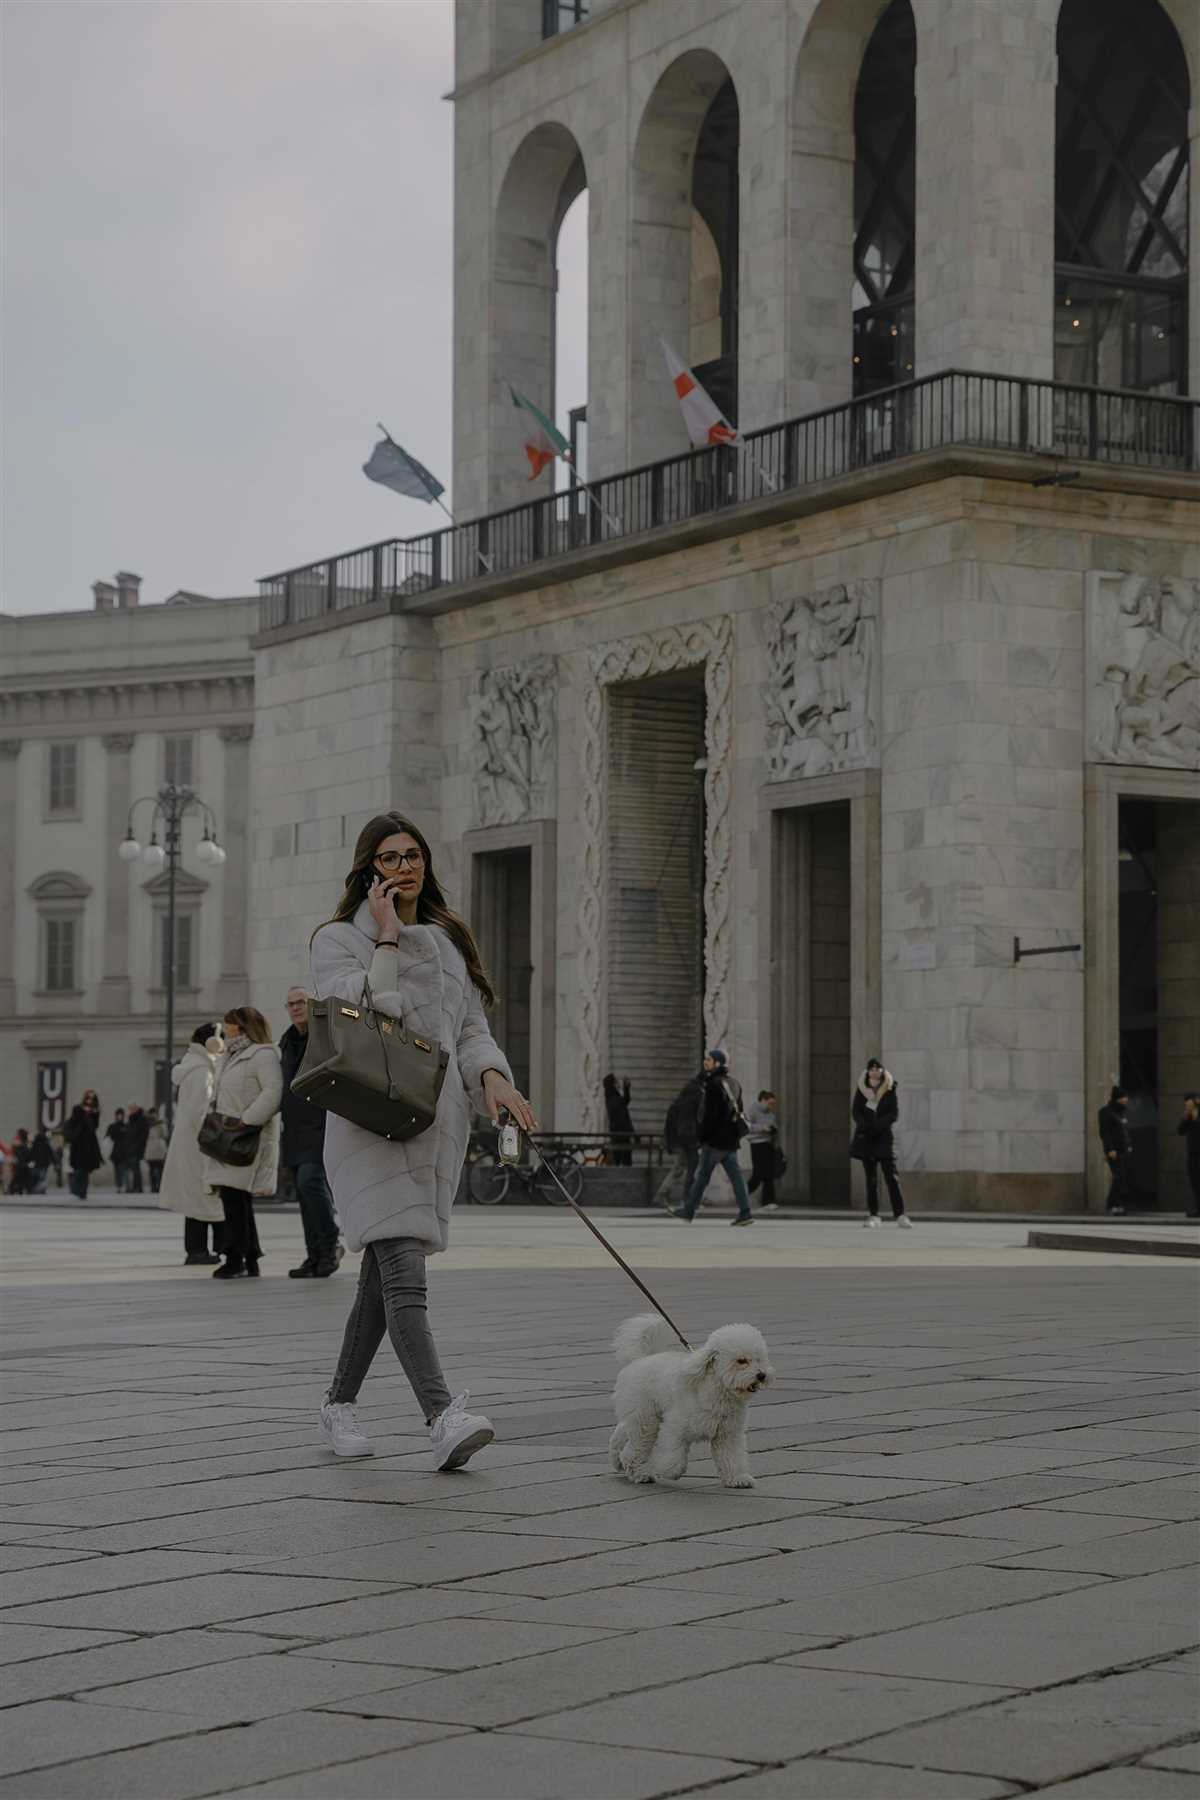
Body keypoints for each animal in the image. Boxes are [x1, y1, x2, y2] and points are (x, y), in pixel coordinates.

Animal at [611, 1317, 780, 1483]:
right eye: (741, 1361)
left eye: (760, 1359)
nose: (762, 1375)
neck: (717, 1390)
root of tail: (637, 1360)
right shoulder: (675, 1425)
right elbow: (674, 1452)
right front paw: (670, 1470)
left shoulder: (728, 1433)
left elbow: (732, 1457)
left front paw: (737, 1478)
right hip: (646, 1419)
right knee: (634, 1449)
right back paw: (640, 1473)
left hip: (640, 1415)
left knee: (623, 1431)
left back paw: (617, 1459)